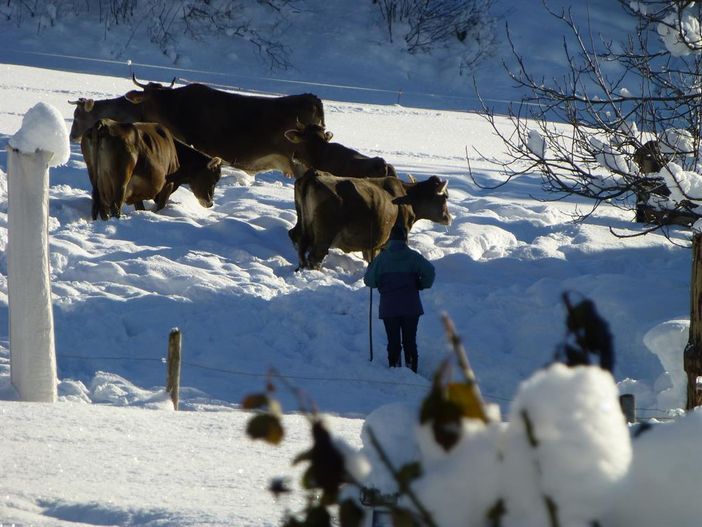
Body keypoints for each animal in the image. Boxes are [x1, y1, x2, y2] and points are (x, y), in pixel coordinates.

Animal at [290, 170, 452, 270]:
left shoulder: (370, 245)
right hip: (326, 233)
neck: (406, 196)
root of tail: (314, 175)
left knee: (297, 238)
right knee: (315, 256)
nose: (449, 218)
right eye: (445, 196)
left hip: (303, 224)